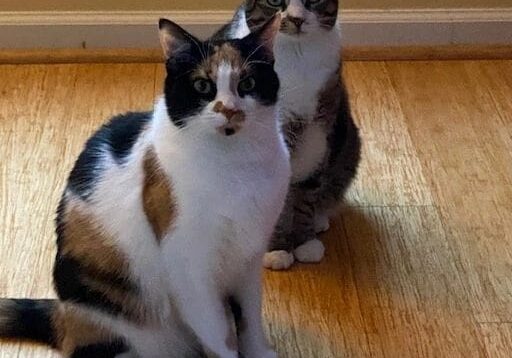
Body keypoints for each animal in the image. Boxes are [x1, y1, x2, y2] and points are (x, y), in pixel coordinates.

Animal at [0, 16, 288, 358]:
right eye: (202, 86)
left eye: (248, 84)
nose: (230, 109)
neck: (235, 165)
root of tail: (62, 315)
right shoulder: (190, 269)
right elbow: (220, 335)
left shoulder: (249, 255)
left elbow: (250, 319)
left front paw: (260, 351)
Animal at [216, 0, 360, 268]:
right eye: (274, 2)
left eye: (313, 1)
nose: (296, 19)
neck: (296, 55)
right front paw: (277, 249)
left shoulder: (319, 127)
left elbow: (308, 193)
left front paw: (305, 241)